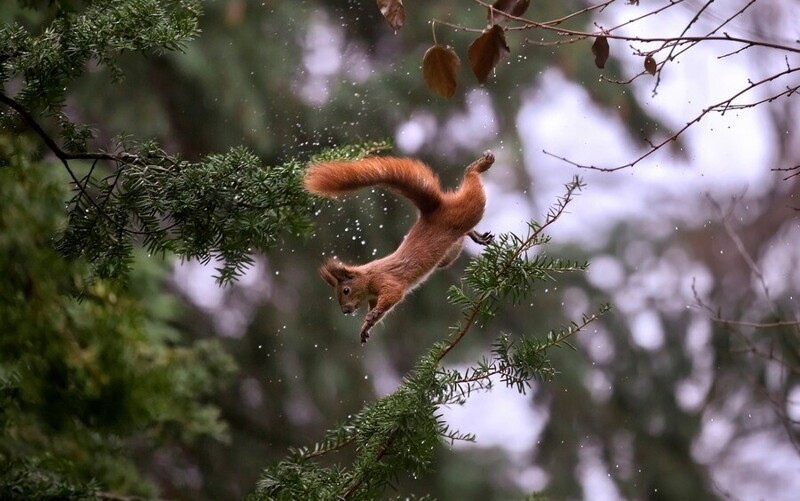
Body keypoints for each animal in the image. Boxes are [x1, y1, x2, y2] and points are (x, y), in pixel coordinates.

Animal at [304, 150, 494, 342]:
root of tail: (433, 210)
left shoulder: (386, 280)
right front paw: (366, 326)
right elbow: (380, 313)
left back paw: (479, 165)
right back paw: (476, 236)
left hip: (467, 212)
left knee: (473, 189)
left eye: (346, 290)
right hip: (448, 253)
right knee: (462, 237)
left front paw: (372, 315)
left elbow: (392, 296)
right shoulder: (373, 298)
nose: (345, 311)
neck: (369, 277)